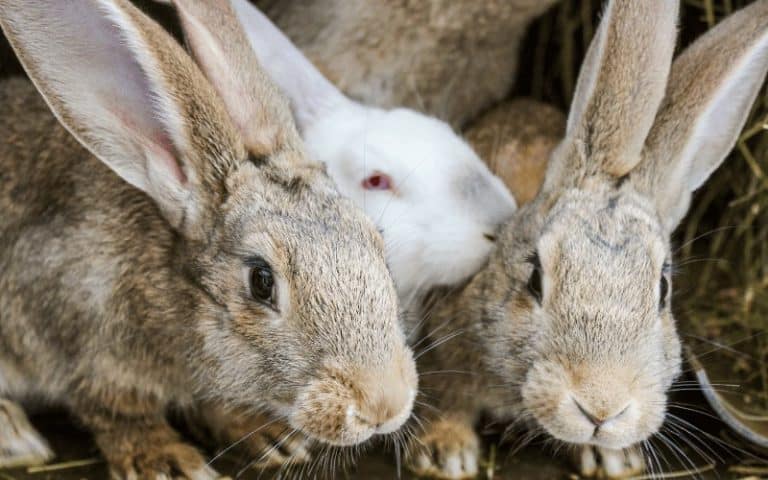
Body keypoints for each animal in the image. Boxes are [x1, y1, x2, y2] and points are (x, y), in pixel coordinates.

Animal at [0, 0, 420, 476]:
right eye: (261, 281)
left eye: (378, 243)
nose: (384, 405)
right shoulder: (81, 334)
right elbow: (118, 412)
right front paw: (166, 462)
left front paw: (271, 438)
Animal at [404, 0, 768, 478]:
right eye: (535, 279)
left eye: (663, 291)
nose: (601, 408)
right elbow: (444, 395)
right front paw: (446, 453)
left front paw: (615, 459)